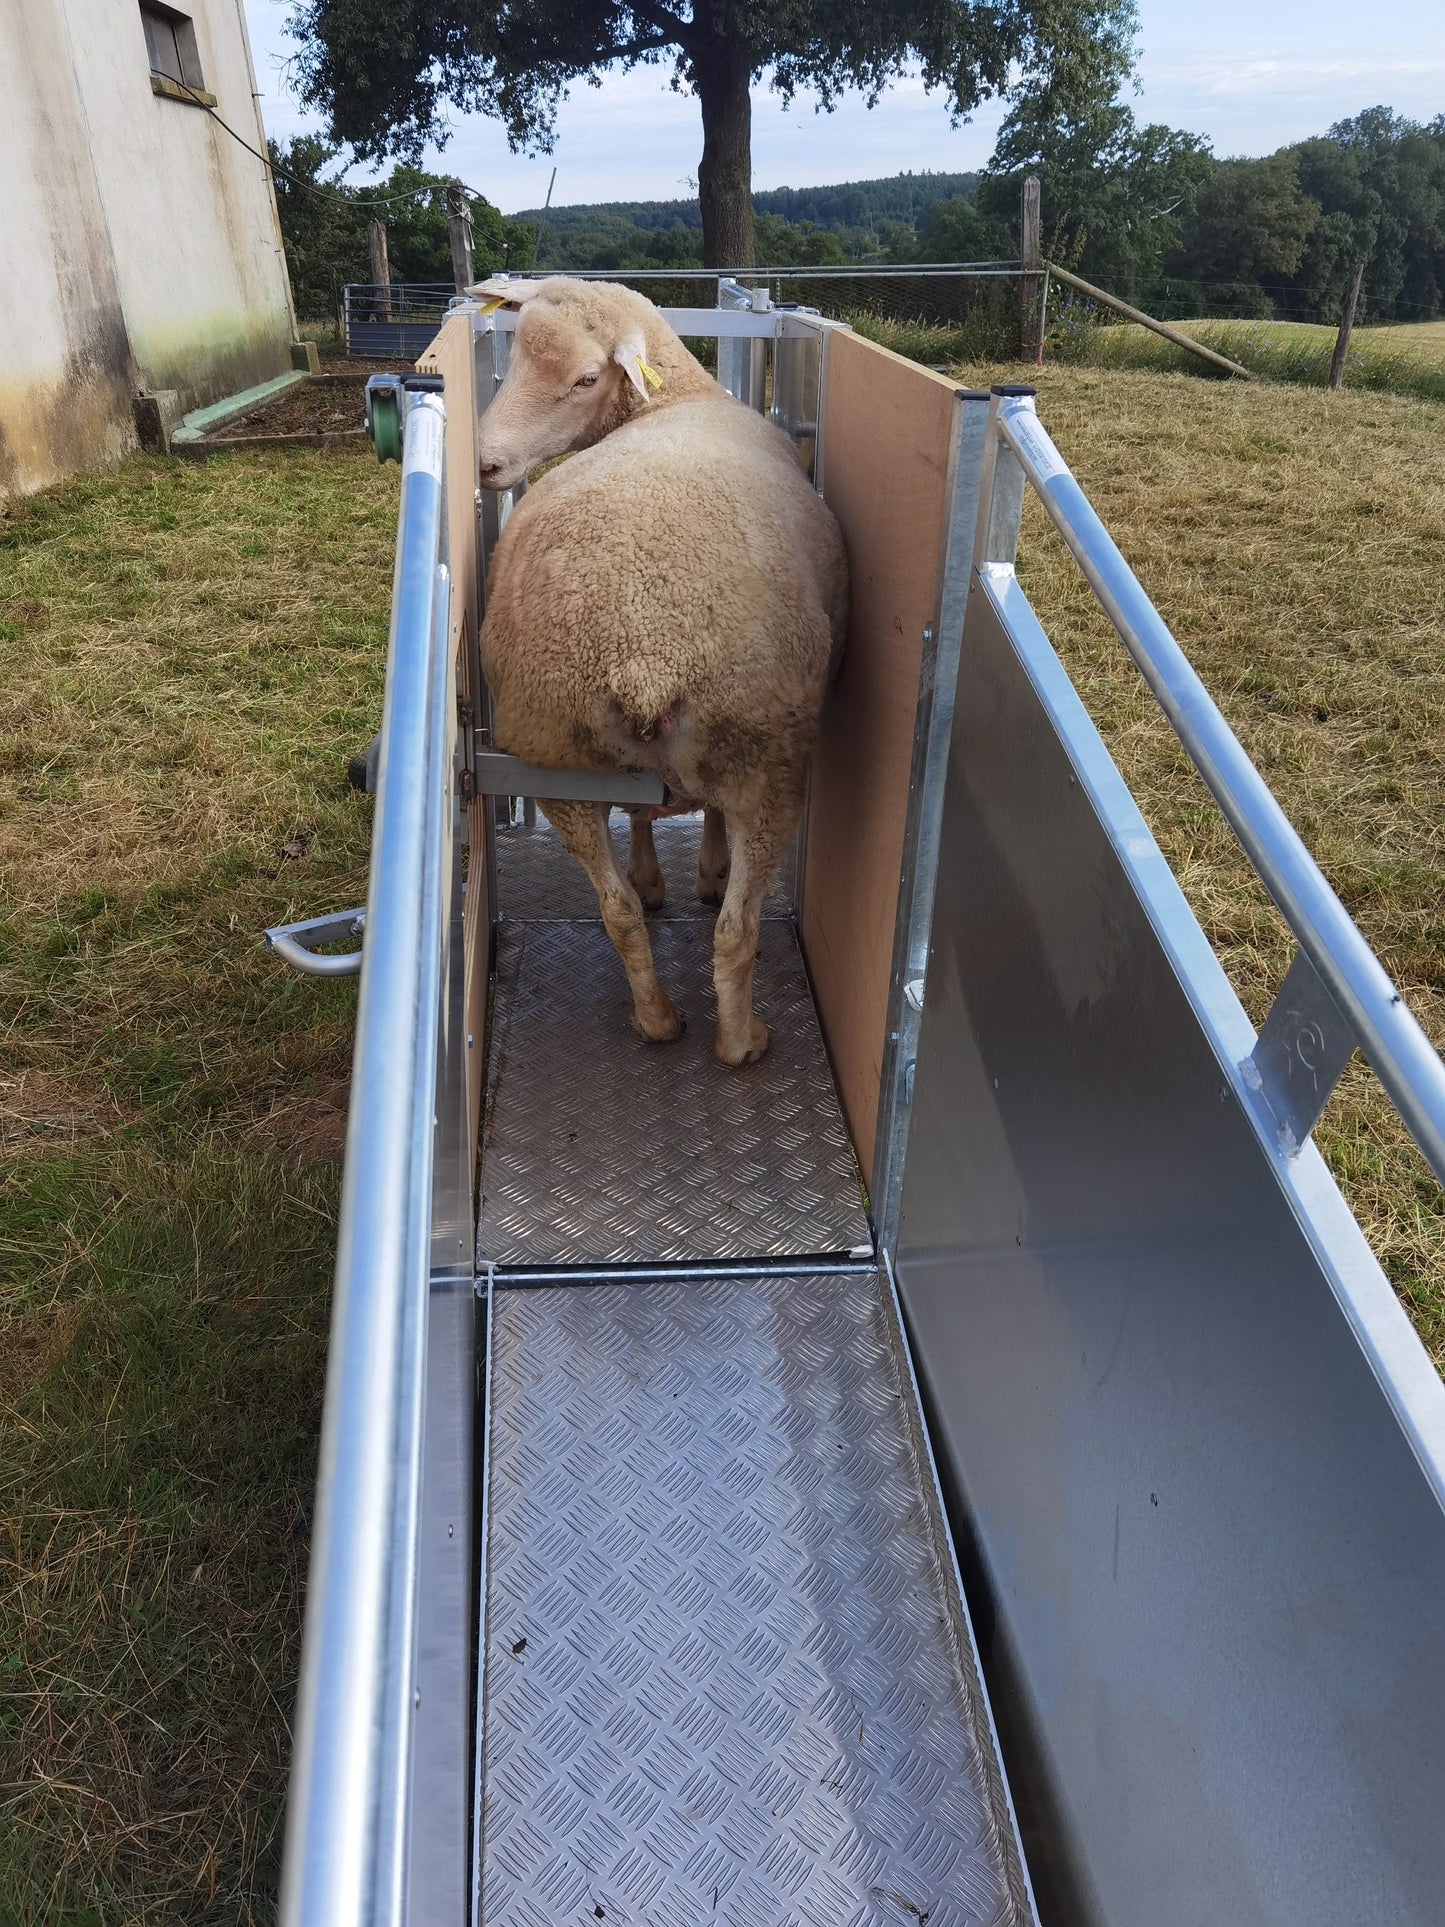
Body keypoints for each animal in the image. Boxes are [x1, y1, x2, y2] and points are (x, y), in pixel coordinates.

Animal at [475, 277, 847, 1063]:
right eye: (516, 357)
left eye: (586, 378)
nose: (486, 465)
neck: (676, 397)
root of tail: (640, 657)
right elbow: (699, 817)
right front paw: (704, 871)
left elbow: (646, 814)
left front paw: (653, 878)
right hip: (770, 756)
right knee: (736, 931)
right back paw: (740, 1042)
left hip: (556, 760)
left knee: (614, 912)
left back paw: (656, 1019)